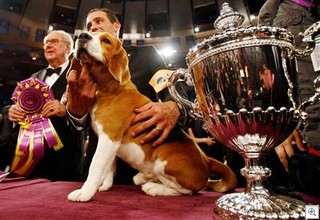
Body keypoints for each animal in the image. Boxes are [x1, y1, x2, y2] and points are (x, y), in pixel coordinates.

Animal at [67, 31, 236, 202]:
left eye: (106, 40)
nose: (82, 35)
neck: (108, 89)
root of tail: (207, 160)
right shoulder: (109, 143)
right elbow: (108, 168)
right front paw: (104, 186)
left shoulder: (109, 137)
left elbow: (95, 165)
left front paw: (85, 192)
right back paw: (144, 177)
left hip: (164, 162)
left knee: (187, 191)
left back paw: (154, 187)